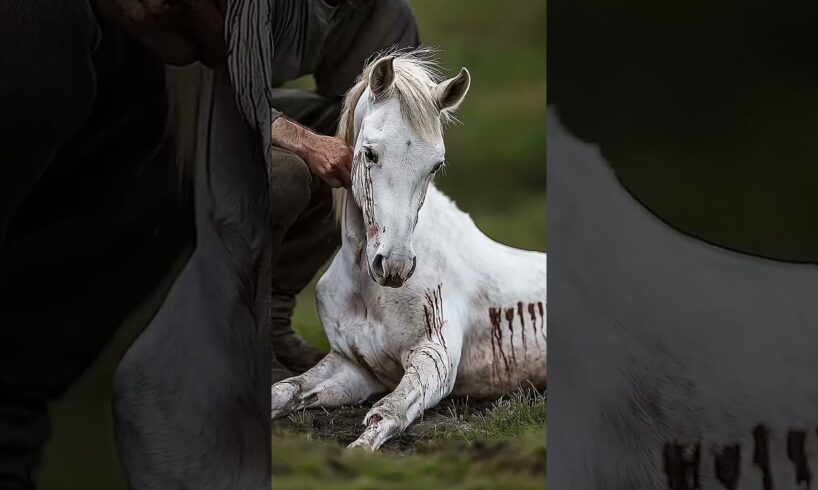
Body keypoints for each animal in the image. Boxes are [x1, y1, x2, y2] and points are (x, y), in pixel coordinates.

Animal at [270, 50, 544, 452]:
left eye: (436, 164)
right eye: (369, 153)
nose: (395, 267)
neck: (366, 287)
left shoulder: (434, 357)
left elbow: (388, 413)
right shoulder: (354, 367)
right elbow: (284, 390)